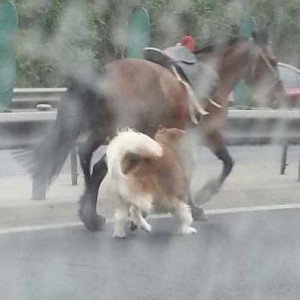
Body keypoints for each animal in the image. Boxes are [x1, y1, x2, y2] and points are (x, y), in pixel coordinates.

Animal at [26, 35, 286, 230]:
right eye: (273, 61)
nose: (280, 93)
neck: (216, 76)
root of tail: (102, 74)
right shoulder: (209, 135)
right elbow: (227, 164)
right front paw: (202, 198)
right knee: (100, 166)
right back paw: (94, 216)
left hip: (103, 131)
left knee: (85, 156)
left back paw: (89, 213)